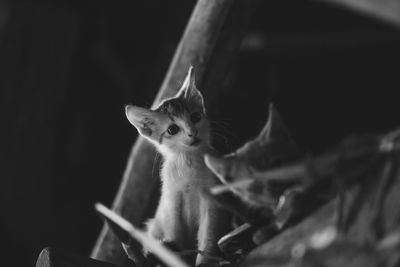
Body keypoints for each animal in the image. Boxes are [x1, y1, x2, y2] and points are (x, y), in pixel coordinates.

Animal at [126, 67, 230, 267]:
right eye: (172, 129)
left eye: (195, 117)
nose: (192, 132)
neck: (188, 162)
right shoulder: (171, 201)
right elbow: (174, 234)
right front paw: (175, 259)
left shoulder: (211, 199)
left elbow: (208, 236)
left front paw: (206, 260)